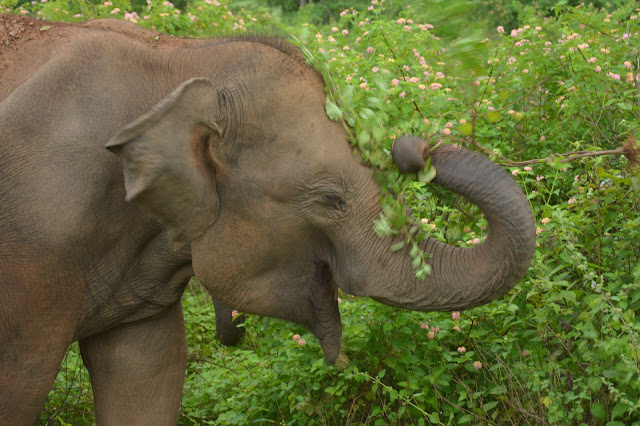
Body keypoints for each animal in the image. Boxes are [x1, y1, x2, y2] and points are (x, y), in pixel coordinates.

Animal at [1, 15, 536, 424]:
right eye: (330, 200)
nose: (416, 148)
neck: (182, 61)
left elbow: (148, 370)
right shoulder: (32, 241)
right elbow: (19, 383)